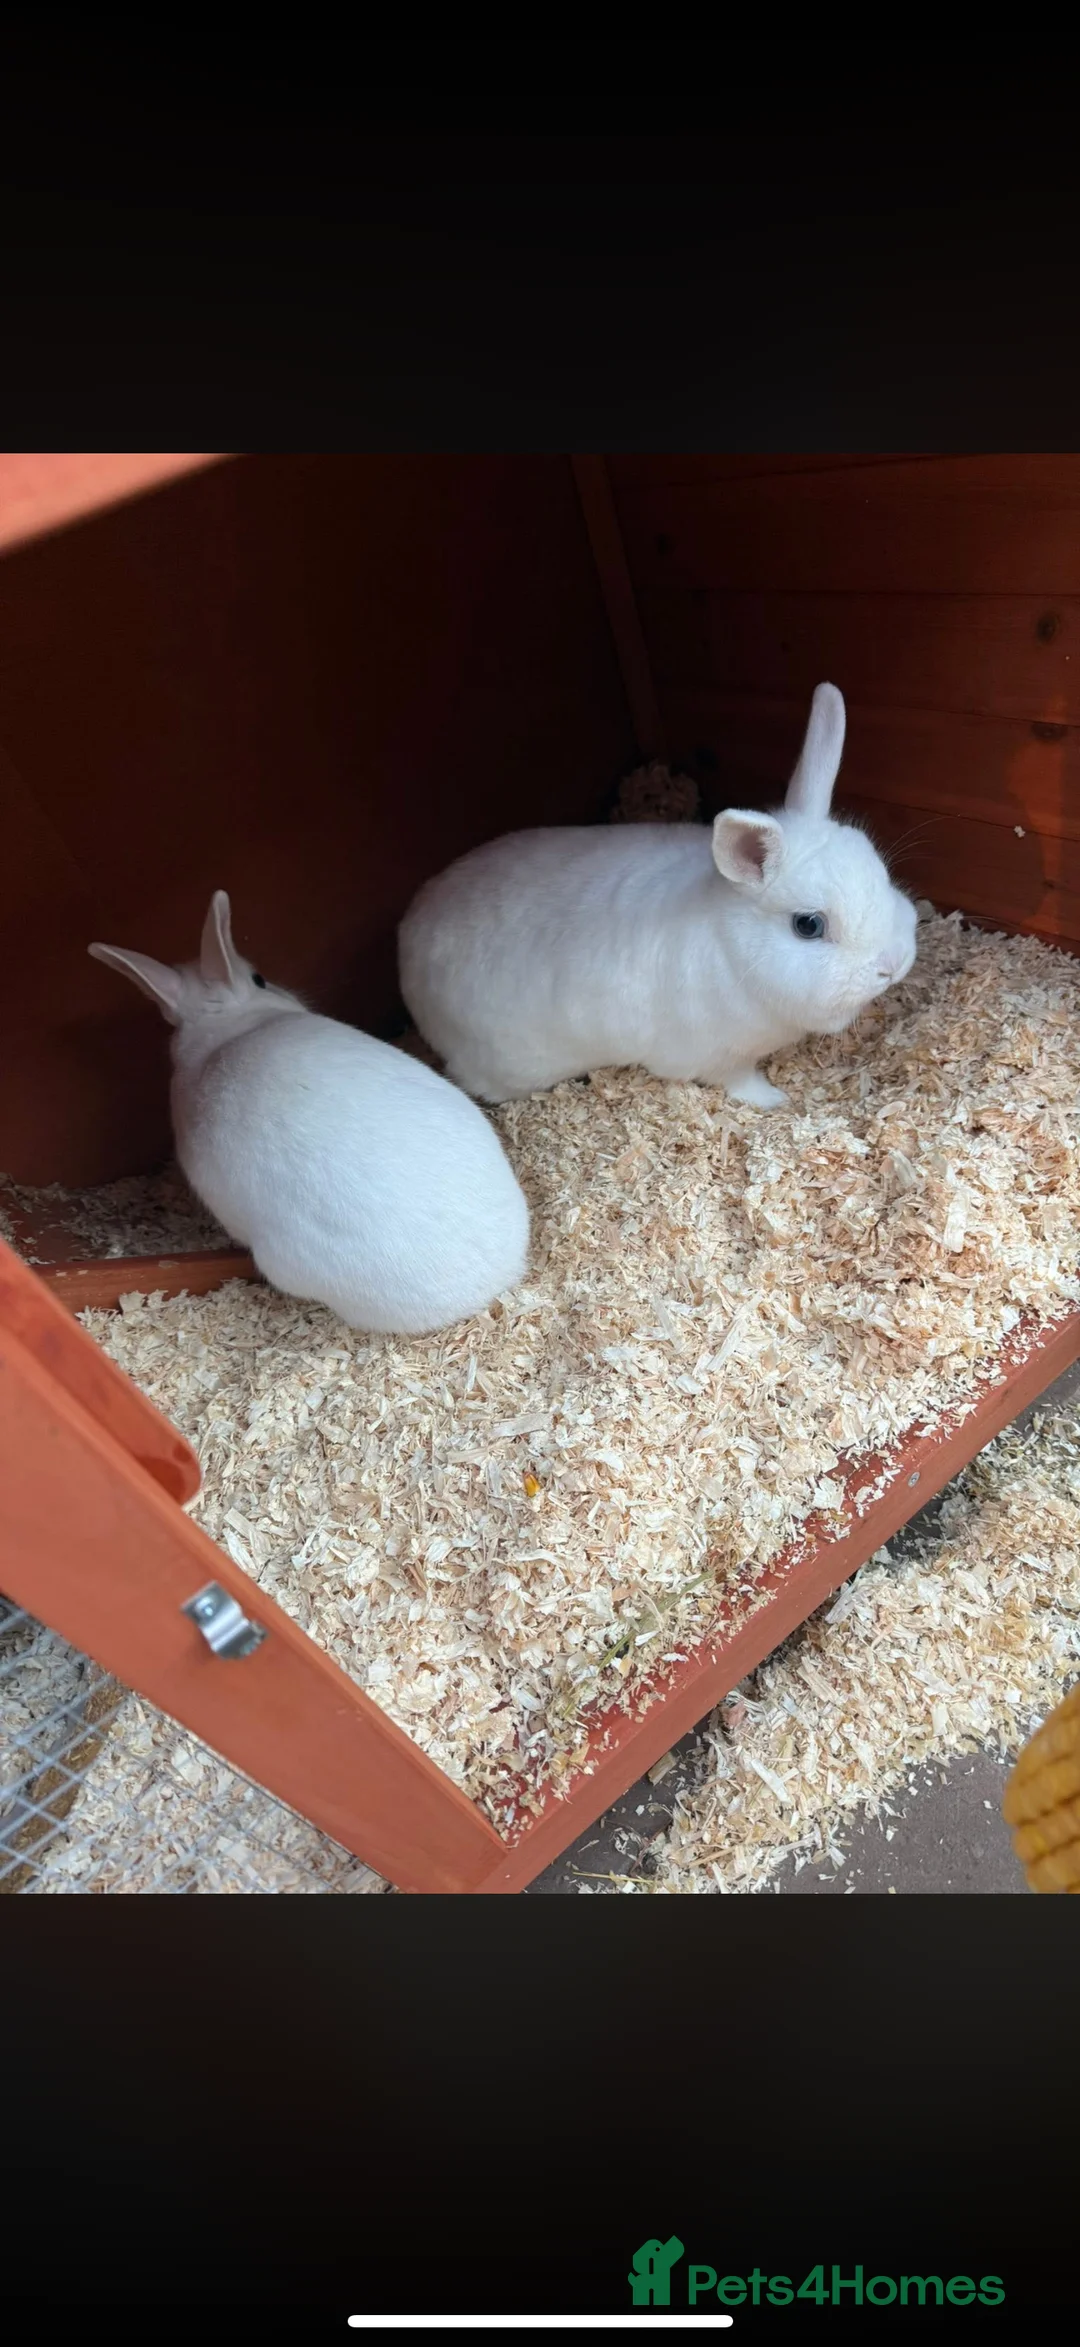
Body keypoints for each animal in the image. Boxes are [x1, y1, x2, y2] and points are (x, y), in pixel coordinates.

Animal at [399, 683, 918, 1111]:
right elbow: (741, 1082)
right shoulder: (716, 1057)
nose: (892, 965)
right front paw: (776, 1101)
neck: (731, 950)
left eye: (882, 874)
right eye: (808, 925)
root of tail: (406, 940)